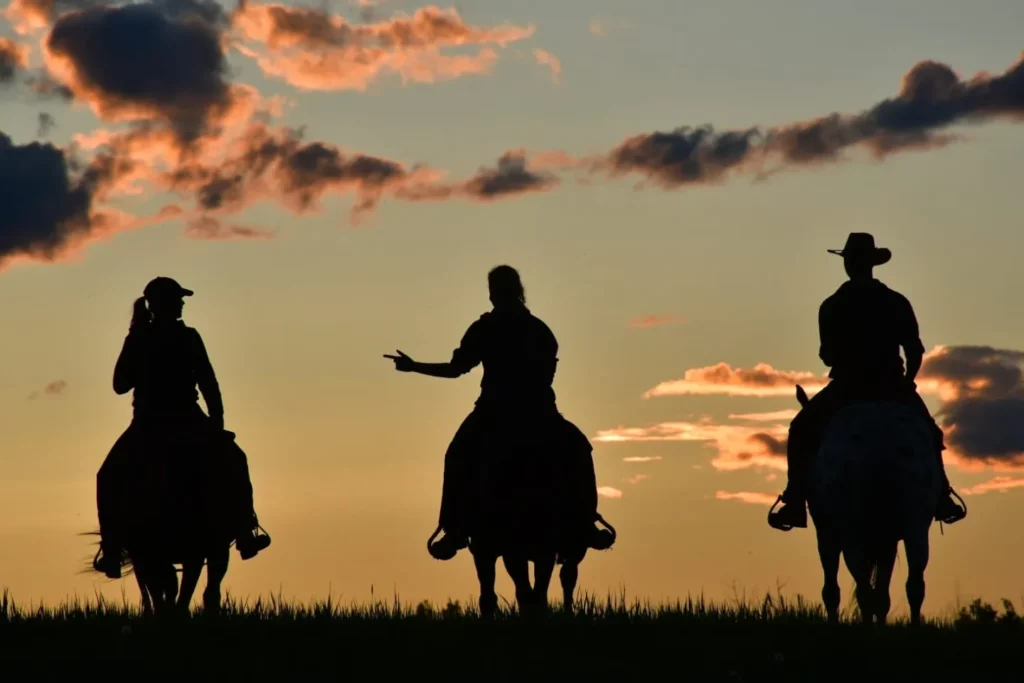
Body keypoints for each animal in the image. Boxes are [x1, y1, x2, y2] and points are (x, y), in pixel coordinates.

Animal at [798, 385, 942, 626]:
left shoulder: (827, 532)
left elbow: (831, 590)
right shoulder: (888, 539)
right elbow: (883, 594)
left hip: (852, 533)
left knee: (863, 588)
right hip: (916, 524)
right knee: (915, 583)